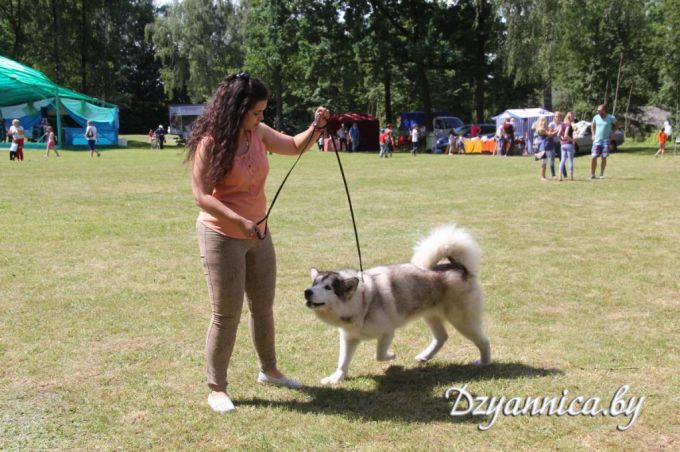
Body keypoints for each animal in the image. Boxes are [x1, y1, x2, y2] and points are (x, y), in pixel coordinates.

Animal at [302, 224, 488, 384]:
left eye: (328, 287)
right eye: (314, 284)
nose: (307, 292)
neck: (362, 301)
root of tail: (459, 267)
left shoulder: (387, 333)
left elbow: (379, 355)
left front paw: (391, 357)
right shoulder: (349, 338)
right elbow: (342, 362)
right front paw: (335, 379)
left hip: (463, 321)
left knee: (484, 341)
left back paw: (484, 362)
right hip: (431, 316)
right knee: (442, 337)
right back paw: (425, 356)